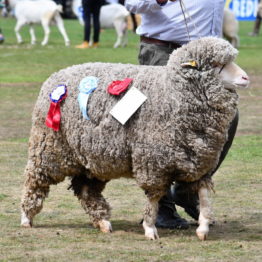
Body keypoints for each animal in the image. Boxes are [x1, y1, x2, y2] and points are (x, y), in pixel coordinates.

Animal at [20, 36, 250, 242]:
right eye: (217, 65)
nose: (246, 78)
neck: (173, 91)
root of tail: (56, 76)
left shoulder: (199, 159)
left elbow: (203, 195)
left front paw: (203, 227)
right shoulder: (153, 161)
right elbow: (154, 197)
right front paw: (150, 228)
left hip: (92, 157)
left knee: (85, 189)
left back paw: (103, 222)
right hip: (49, 147)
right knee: (35, 179)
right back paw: (26, 218)